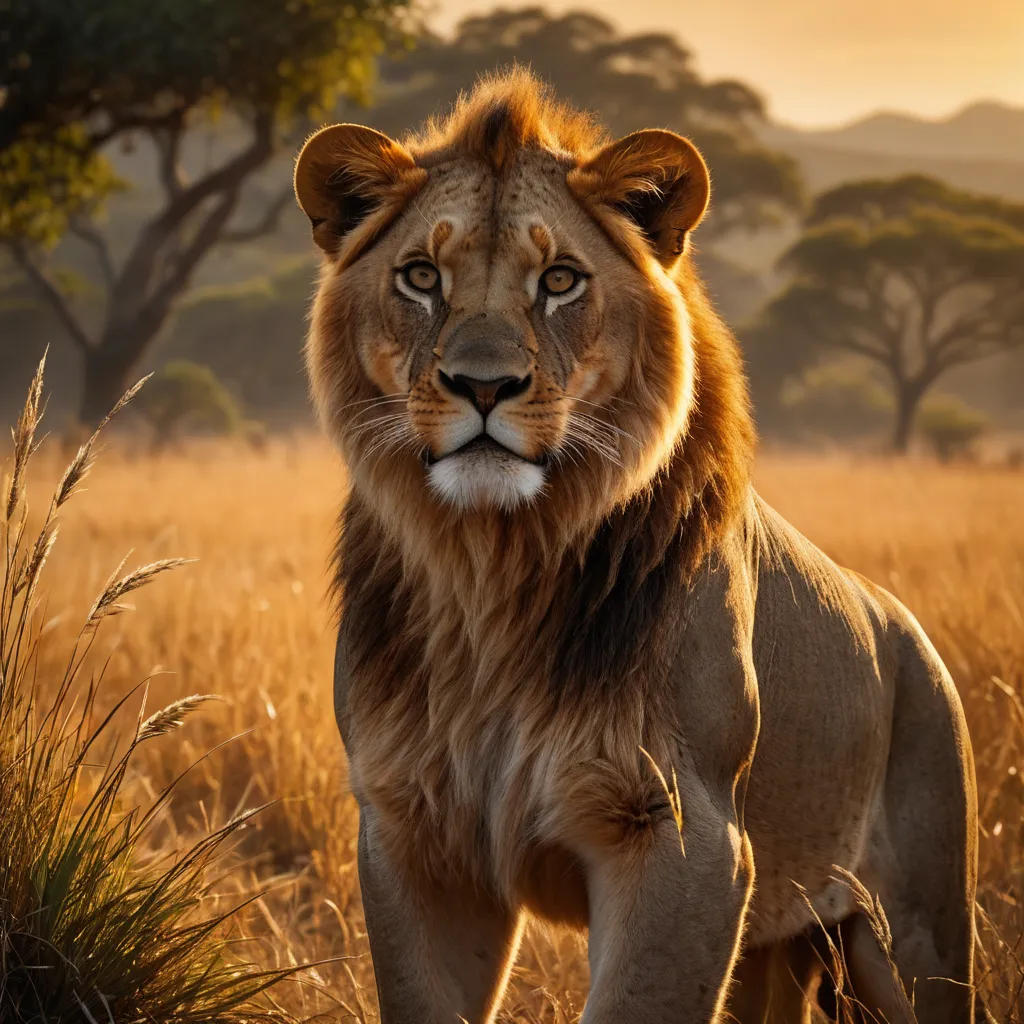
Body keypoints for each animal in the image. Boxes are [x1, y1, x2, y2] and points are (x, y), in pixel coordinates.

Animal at [293, 70, 979, 1023]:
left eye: (560, 281)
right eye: (421, 277)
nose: (482, 385)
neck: (492, 570)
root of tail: (909, 632)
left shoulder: (685, 839)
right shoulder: (412, 834)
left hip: (915, 938)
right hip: (778, 945)